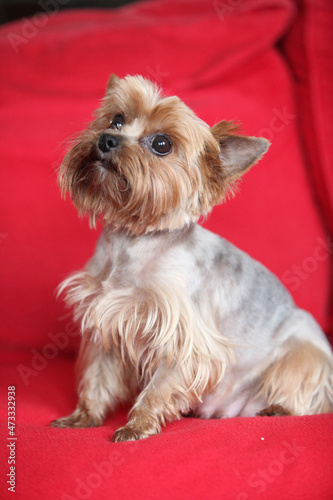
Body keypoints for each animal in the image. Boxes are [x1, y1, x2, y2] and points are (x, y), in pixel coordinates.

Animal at [50, 74, 332, 442]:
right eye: (116, 120)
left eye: (162, 144)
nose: (107, 139)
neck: (134, 238)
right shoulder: (105, 322)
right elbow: (97, 376)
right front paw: (84, 417)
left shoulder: (185, 339)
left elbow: (159, 386)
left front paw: (136, 426)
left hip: (303, 355)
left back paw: (277, 410)